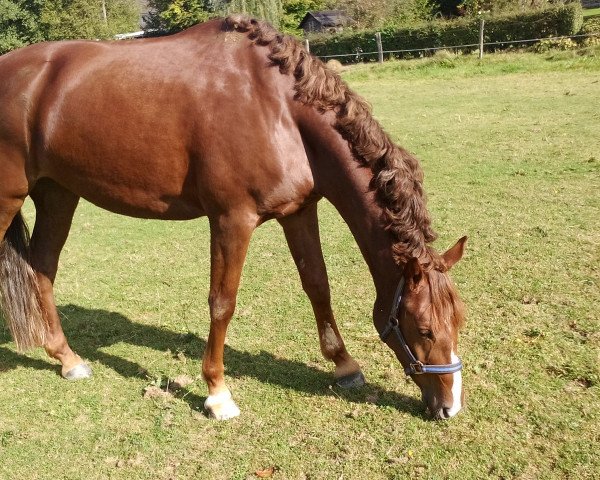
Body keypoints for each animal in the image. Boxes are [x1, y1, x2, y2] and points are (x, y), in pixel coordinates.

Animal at [0, 15, 468, 420]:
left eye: (458, 321)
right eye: (423, 328)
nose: (450, 406)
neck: (277, 108)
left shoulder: (299, 212)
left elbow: (318, 285)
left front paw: (345, 365)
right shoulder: (231, 220)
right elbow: (222, 303)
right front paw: (217, 394)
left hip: (58, 195)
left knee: (41, 269)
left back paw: (68, 359)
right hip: (10, 196)